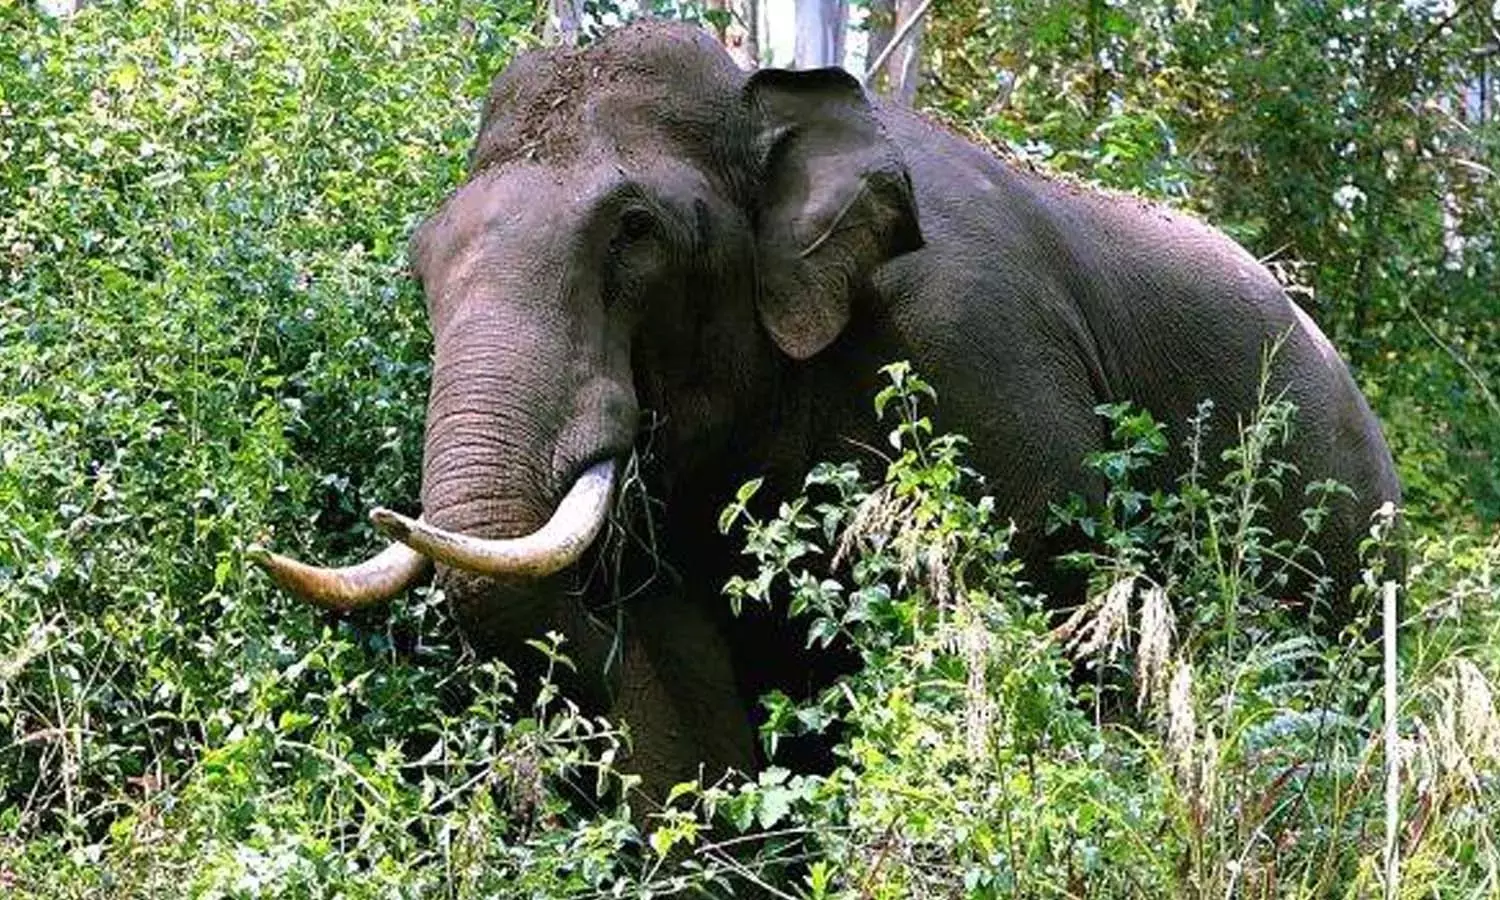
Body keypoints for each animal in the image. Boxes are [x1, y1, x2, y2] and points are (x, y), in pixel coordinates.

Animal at [251, 21, 1401, 805]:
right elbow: (684, 674)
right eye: (420, 258)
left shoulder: (981, 347)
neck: (763, 102)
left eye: (635, 230)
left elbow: (1055, 601)